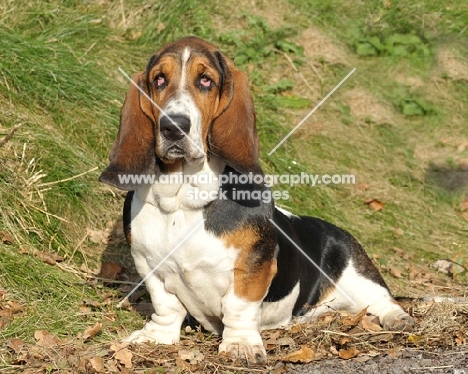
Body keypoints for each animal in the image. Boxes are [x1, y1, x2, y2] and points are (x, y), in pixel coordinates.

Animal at [99, 36, 414, 364]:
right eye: (159, 79)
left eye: (206, 80)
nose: (173, 126)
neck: (184, 201)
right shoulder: (149, 265)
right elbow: (166, 306)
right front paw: (156, 337)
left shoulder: (252, 267)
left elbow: (239, 306)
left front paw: (240, 345)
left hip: (359, 278)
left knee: (384, 301)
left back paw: (398, 319)